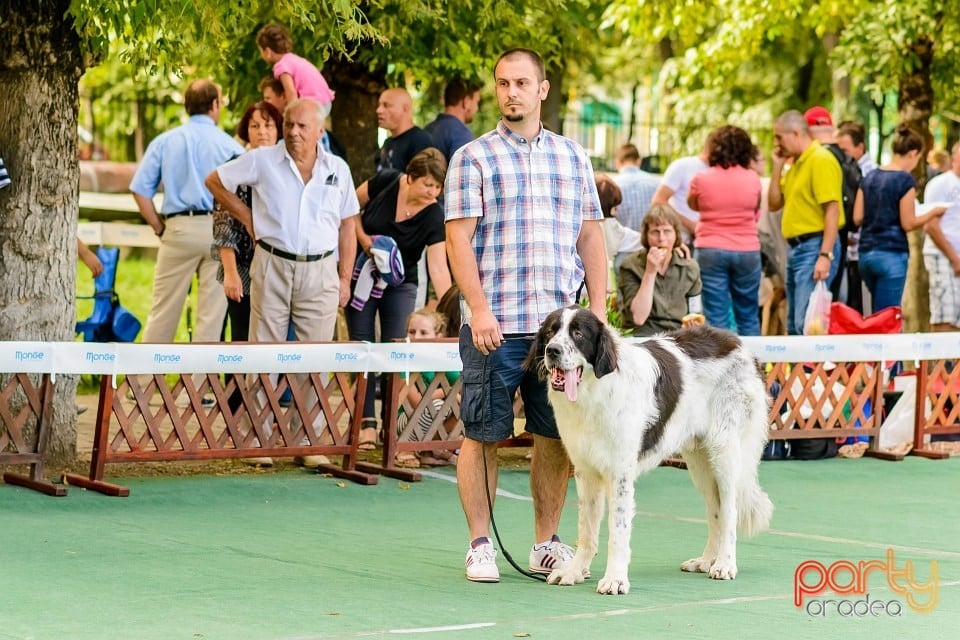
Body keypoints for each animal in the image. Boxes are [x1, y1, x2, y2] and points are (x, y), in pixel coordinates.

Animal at [524, 304, 772, 596]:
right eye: (550, 332)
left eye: (577, 334)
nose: (552, 350)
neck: (595, 389)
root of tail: (741, 346)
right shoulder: (586, 472)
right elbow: (586, 530)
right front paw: (574, 571)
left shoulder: (619, 474)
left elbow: (617, 531)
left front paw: (615, 579)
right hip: (700, 461)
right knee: (716, 509)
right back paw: (705, 560)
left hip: (724, 452)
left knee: (730, 509)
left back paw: (724, 564)